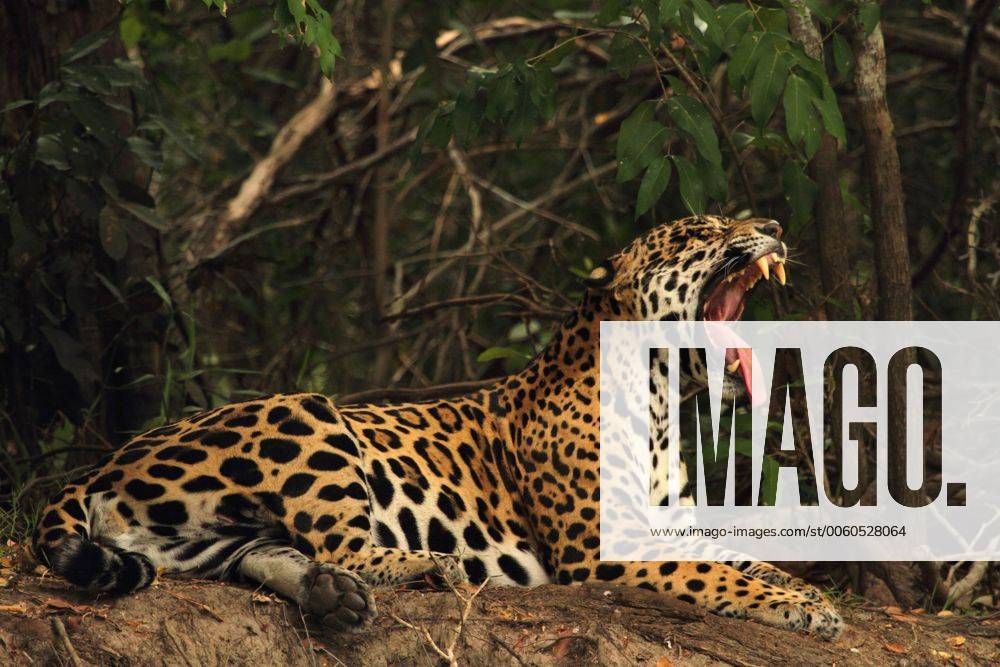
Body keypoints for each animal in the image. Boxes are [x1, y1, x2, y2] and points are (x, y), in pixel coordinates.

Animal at [32, 215, 843, 639]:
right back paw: (430, 566)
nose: (773, 226)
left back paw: (337, 596)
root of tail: (103, 465)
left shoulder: (673, 523)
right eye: (700, 231)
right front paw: (800, 608)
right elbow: (711, 573)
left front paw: (809, 597)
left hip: (209, 538)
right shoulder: (603, 546)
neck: (663, 402)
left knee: (272, 554)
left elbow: (750, 559)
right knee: (344, 541)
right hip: (308, 411)